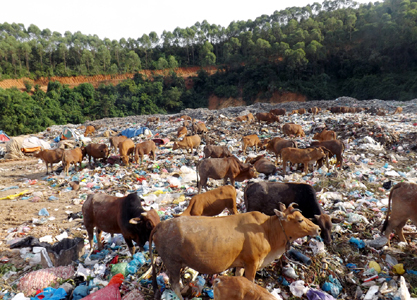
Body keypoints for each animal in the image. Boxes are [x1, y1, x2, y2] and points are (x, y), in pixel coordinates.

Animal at [148, 203, 320, 298]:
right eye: (299, 219)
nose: (318, 228)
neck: (267, 230)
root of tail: (162, 224)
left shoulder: (241, 264)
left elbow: (239, 278)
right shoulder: (252, 263)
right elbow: (250, 283)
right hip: (172, 263)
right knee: (174, 285)